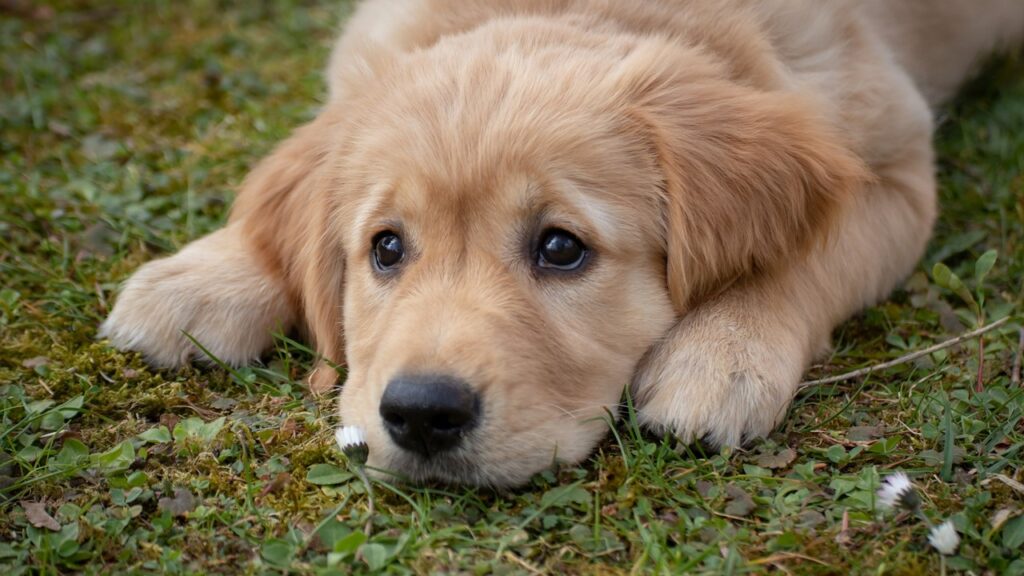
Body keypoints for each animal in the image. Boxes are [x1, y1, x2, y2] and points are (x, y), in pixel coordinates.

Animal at [97, 0, 1024, 483]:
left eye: (561, 249)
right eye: (386, 249)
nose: (421, 414)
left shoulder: (896, 166)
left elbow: (805, 255)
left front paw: (721, 354)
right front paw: (203, 277)